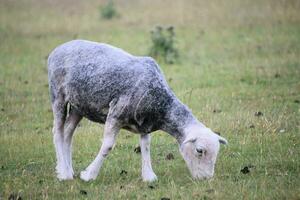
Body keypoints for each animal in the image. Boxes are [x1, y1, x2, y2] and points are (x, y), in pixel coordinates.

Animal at [47, 39, 227, 182]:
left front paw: (148, 176)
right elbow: (107, 146)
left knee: (68, 132)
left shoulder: (144, 123)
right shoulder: (116, 113)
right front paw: (89, 174)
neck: (160, 104)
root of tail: (59, 48)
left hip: (79, 106)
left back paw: (67, 170)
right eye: (199, 151)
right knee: (57, 132)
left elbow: (145, 146)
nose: (206, 178)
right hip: (58, 95)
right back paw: (64, 174)